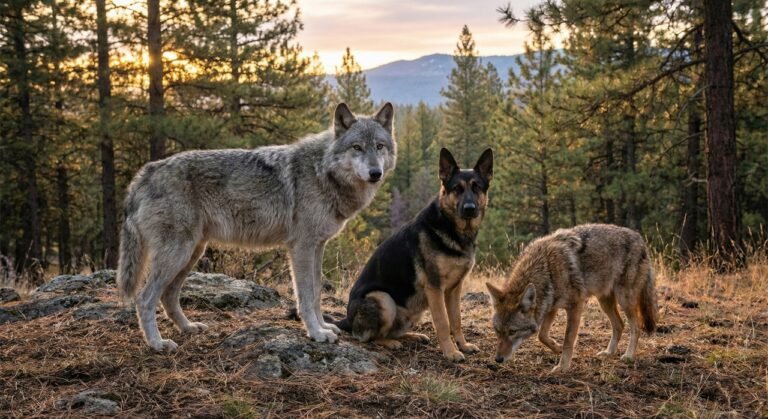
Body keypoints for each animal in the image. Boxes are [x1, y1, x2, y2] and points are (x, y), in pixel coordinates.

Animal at [117, 103, 396, 351]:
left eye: (379, 146)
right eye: (357, 147)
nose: (375, 173)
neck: (322, 171)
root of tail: (145, 173)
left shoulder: (318, 246)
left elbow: (316, 293)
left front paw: (325, 326)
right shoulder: (301, 247)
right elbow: (306, 295)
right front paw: (316, 333)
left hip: (190, 254)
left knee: (168, 296)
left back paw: (188, 328)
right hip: (177, 254)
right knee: (144, 298)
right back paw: (157, 344)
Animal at [335, 148, 493, 362]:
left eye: (477, 187)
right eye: (457, 189)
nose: (470, 209)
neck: (452, 229)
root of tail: (348, 319)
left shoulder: (454, 289)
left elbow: (456, 320)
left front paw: (463, 345)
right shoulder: (435, 288)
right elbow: (443, 322)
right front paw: (450, 352)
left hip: (412, 311)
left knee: (393, 331)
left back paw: (413, 336)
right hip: (384, 300)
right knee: (368, 337)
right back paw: (389, 343)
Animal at [486, 224, 658, 372]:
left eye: (512, 331)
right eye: (497, 331)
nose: (498, 359)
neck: (546, 267)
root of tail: (640, 239)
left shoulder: (575, 306)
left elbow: (568, 340)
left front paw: (562, 367)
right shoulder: (551, 307)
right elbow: (542, 335)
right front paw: (556, 348)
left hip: (624, 300)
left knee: (636, 327)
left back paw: (628, 356)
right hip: (604, 302)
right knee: (619, 325)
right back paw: (609, 353)